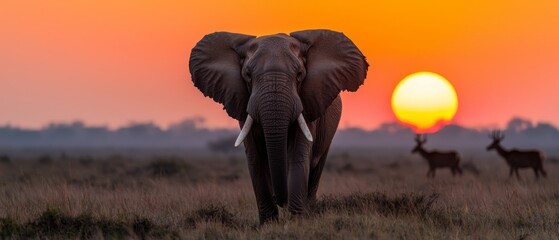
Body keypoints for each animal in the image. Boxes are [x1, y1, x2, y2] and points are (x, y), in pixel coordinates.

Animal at [190, 29, 370, 223]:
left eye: (299, 75)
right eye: (248, 75)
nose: (280, 199)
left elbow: (298, 155)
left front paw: (297, 221)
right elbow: (255, 159)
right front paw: (268, 223)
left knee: (315, 169)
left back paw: (310, 211)